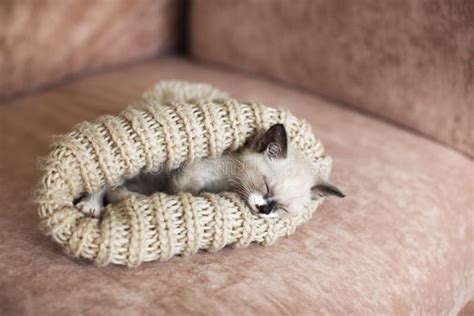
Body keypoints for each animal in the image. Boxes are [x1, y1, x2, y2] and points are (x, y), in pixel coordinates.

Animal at [75, 124, 344, 218]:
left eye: (283, 208)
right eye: (265, 186)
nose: (265, 210)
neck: (229, 181)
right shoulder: (192, 169)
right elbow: (185, 188)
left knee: (117, 190)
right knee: (106, 182)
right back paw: (91, 206)